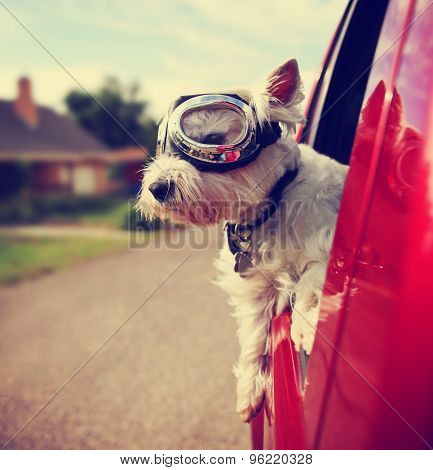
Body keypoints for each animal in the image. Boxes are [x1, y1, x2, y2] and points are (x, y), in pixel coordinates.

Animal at [138, 58, 348, 422]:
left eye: (213, 139)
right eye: (162, 147)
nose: (156, 188)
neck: (270, 207)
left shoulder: (328, 242)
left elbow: (311, 279)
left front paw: (306, 326)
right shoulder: (255, 290)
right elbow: (253, 336)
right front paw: (250, 389)